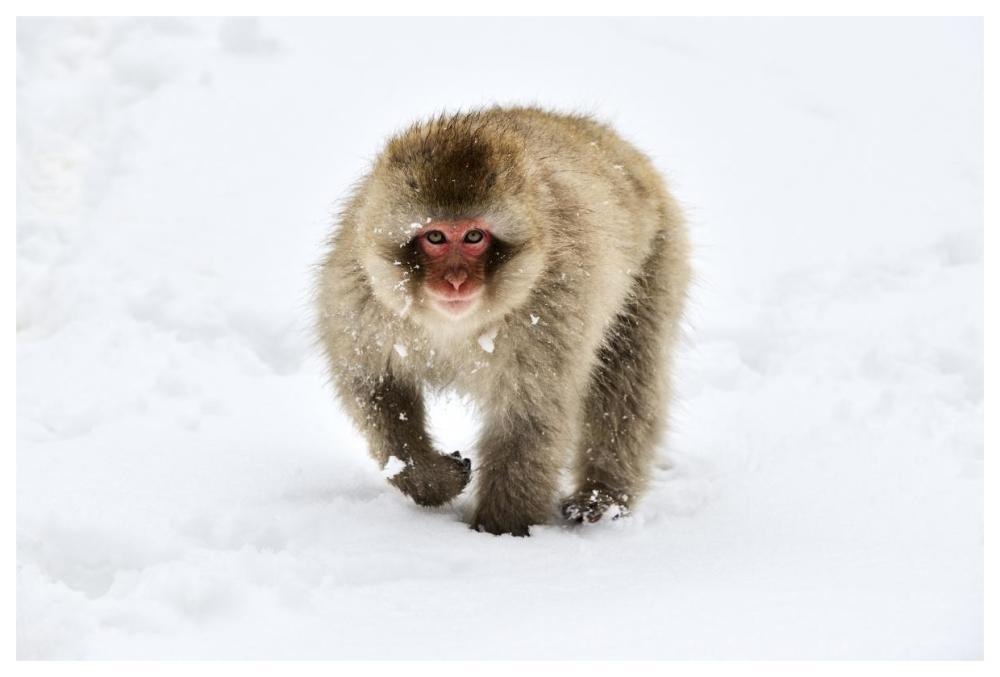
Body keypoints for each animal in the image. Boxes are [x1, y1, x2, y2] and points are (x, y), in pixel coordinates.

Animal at [315, 107, 690, 536]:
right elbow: (375, 388)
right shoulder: (357, 299)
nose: (456, 280)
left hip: (656, 260)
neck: (453, 325)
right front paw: (429, 479)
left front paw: (500, 530)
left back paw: (603, 497)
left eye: (474, 237)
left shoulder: (555, 309)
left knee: (627, 380)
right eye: (436, 237)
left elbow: (529, 418)